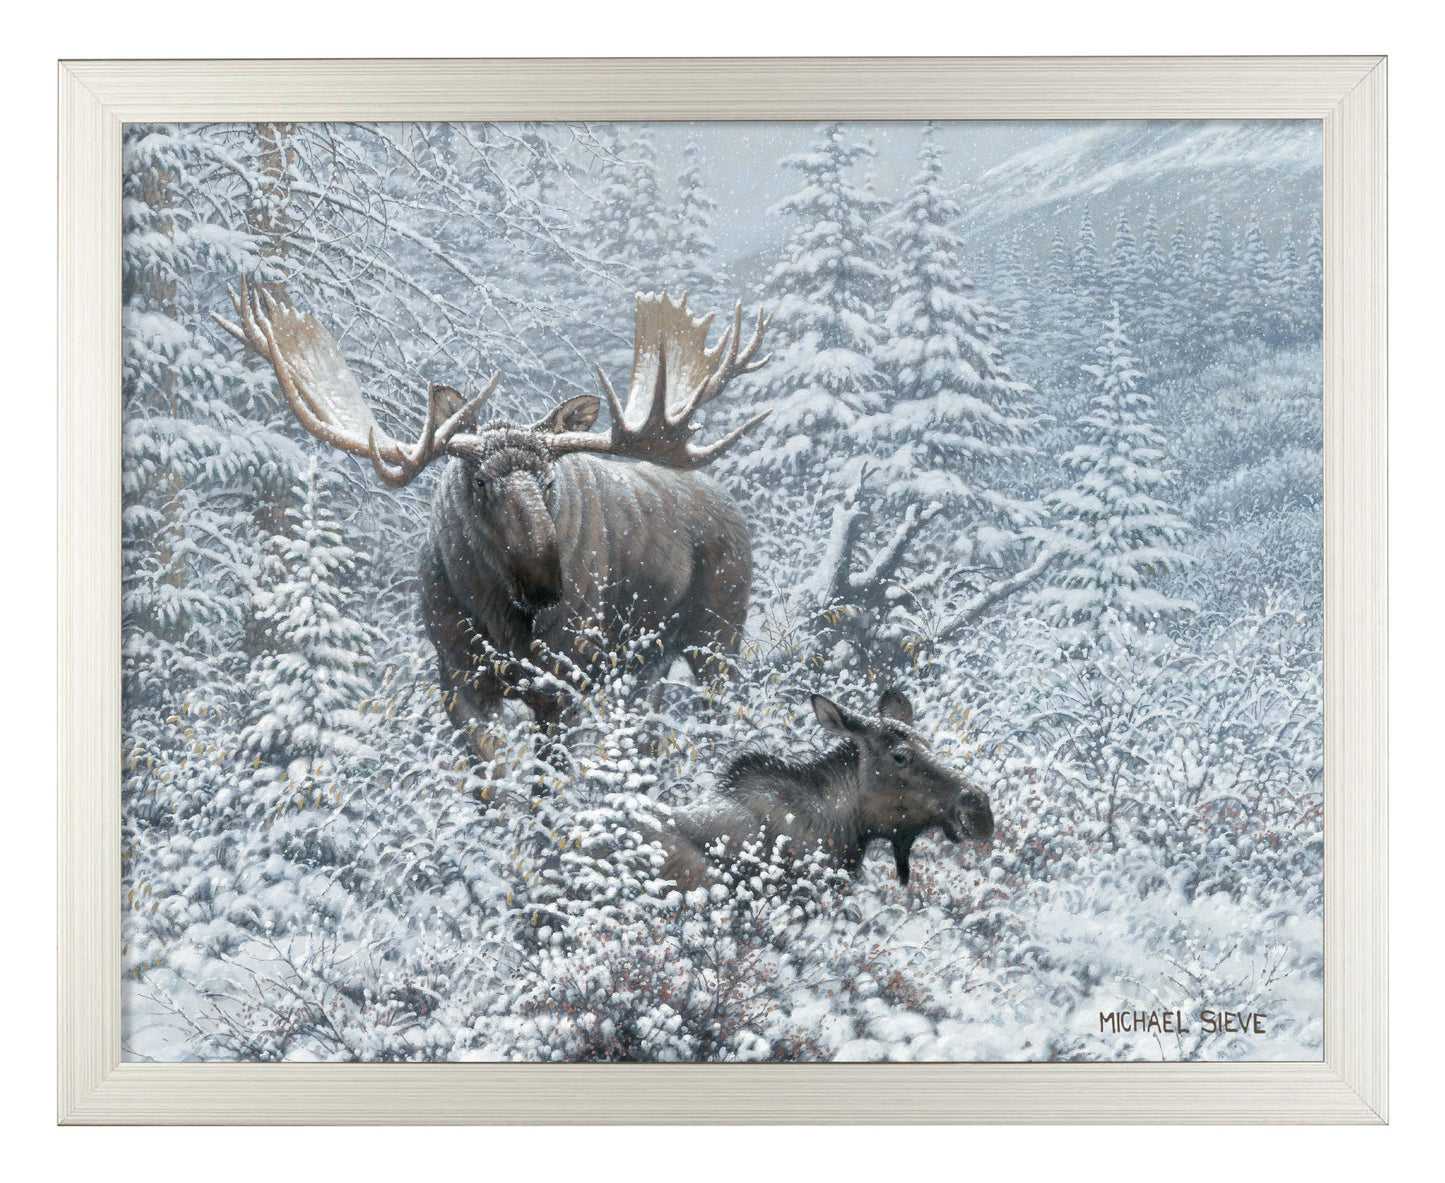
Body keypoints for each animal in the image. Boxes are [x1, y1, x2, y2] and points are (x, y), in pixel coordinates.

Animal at [215, 279, 772, 744]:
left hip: (719, 634)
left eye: (549, 480)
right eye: (480, 480)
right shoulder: (457, 680)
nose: (547, 584)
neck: (498, 620)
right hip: (647, 664)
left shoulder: (563, 682)